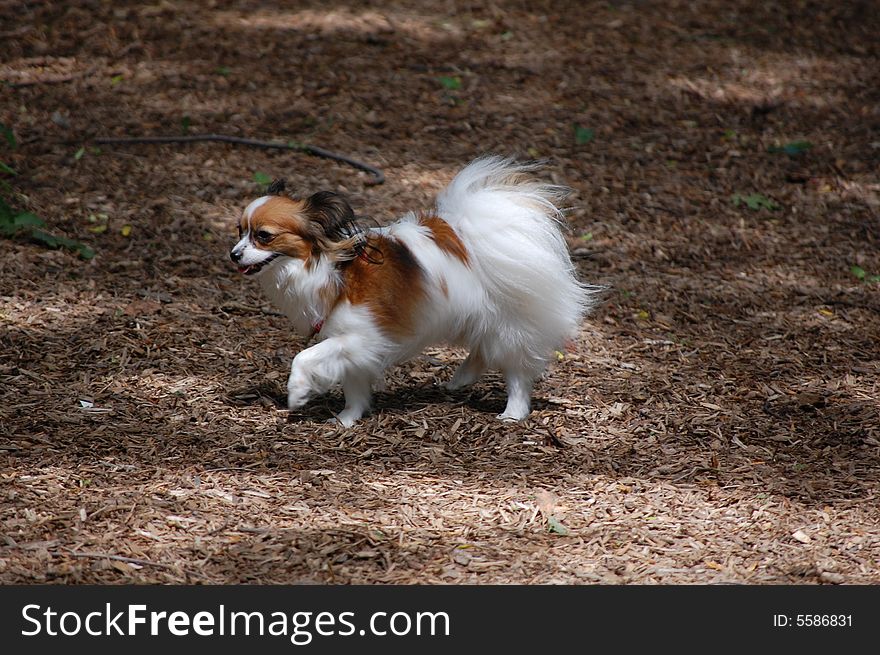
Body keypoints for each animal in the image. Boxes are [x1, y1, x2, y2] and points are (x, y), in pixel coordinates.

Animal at [229, 156, 600, 428]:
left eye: (263, 236)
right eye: (239, 230)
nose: (233, 254)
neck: (330, 267)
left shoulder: (363, 336)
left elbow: (303, 358)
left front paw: (297, 393)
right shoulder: (354, 345)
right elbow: (354, 386)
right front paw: (348, 419)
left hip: (509, 324)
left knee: (517, 372)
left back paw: (513, 412)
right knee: (483, 349)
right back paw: (461, 379)